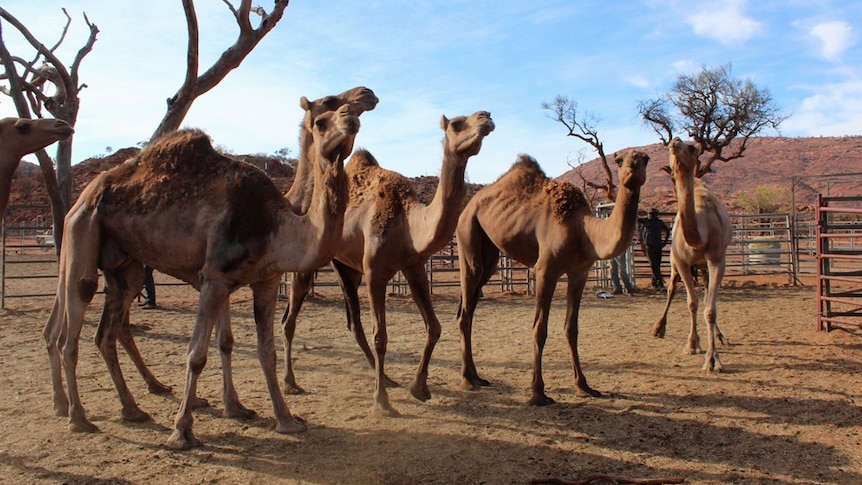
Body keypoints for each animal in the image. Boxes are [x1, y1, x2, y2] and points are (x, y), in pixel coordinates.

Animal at [43, 99, 362, 450]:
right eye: (321, 120)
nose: (351, 115)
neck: (276, 225)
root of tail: (84, 195)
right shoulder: (214, 276)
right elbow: (196, 354)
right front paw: (182, 432)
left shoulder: (266, 280)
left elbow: (266, 351)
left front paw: (286, 420)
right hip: (82, 229)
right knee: (74, 313)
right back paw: (78, 417)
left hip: (124, 264)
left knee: (107, 330)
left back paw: (132, 409)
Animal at [282, 111, 496, 414]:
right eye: (456, 124)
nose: (485, 116)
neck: (409, 224)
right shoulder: (375, 272)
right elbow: (381, 336)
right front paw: (381, 402)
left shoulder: (414, 266)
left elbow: (434, 327)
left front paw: (418, 388)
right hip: (311, 261)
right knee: (290, 319)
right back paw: (291, 383)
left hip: (346, 267)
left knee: (354, 323)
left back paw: (387, 379)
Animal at [456, 149, 652, 402]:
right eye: (619, 161)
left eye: (645, 159)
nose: (632, 170)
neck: (583, 230)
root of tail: (468, 206)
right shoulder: (545, 270)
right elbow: (539, 329)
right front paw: (538, 393)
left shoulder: (580, 272)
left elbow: (572, 328)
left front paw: (584, 386)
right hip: (467, 233)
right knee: (466, 306)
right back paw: (467, 380)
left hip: (489, 252)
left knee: (468, 309)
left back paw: (477, 376)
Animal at [656, 136, 736, 370]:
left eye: (692, 148)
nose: (674, 141)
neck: (701, 235)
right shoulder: (682, 262)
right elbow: (692, 303)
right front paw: (692, 345)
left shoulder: (717, 259)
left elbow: (710, 309)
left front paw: (713, 359)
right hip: (674, 262)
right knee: (672, 288)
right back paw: (659, 328)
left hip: (704, 265)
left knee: (708, 291)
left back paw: (720, 336)